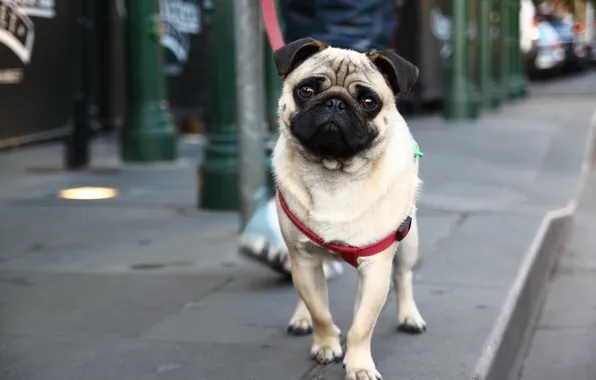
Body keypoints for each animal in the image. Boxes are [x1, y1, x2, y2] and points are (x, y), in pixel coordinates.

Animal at [272, 39, 426, 380]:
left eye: (368, 101)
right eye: (306, 90)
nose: (335, 103)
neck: (333, 173)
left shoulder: (376, 266)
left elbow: (361, 326)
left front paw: (359, 365)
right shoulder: (304, 259)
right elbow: (320, 311)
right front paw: (326, 345)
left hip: (409, 242)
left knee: (404, 278)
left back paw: (410, 317)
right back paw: (301, 318)